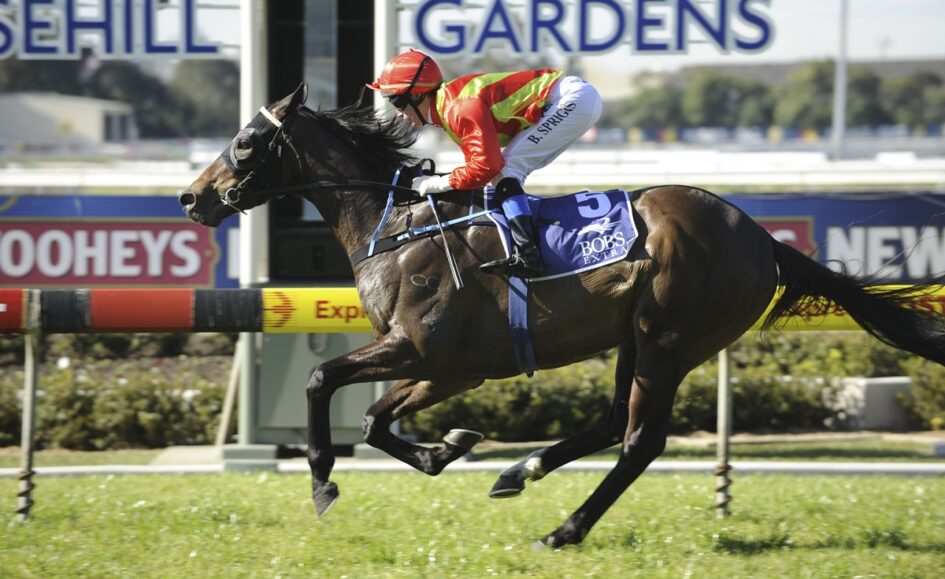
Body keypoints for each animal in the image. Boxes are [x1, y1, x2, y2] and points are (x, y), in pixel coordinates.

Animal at [179, 84, 945, 548]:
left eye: (245, 142)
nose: (191, 197)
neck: (396, 226)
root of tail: (763, 239)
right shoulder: (448, 368)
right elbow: (372, 419)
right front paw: (446, 448)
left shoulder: (423, 350)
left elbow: (321, 383)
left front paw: (321, 480)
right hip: (635, 335)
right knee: (611, 422)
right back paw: (521, 470)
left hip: (669, 337)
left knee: (639, 440)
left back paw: (565, 528)